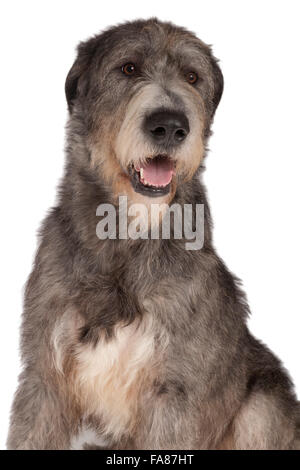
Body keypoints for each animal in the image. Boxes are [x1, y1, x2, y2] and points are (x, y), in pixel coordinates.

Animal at [7, 19, 300, 452]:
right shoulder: (44, 377)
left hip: (264, 404)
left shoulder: (174, 392)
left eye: (192, 77)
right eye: (128, 68)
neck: (126, 235)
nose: (170, 125)